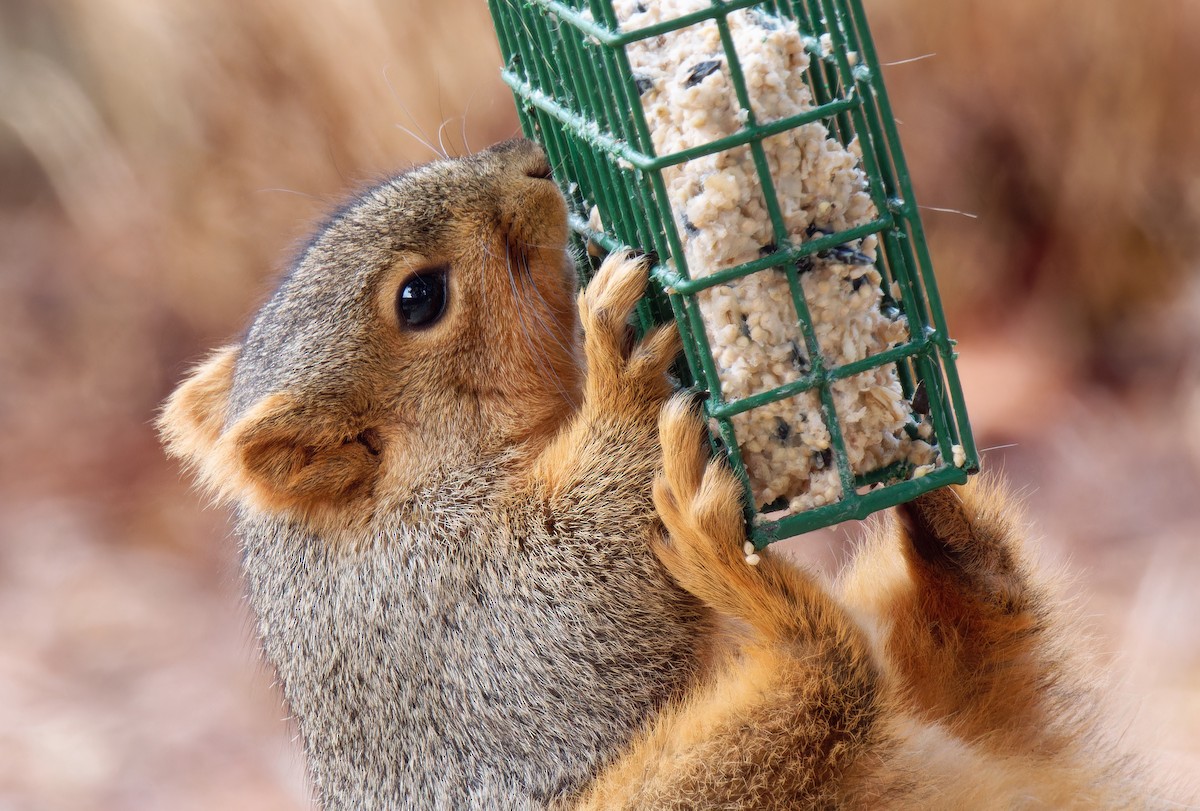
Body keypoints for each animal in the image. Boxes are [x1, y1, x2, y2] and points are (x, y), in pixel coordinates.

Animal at [162, 138, 1163, 808]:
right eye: (419, 297)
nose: (531, 164)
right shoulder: (448, 618)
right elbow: (576, 600)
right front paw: (624, 377)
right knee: (834, 680)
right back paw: (753, 580)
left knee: (980, 628)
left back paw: (937, 511)